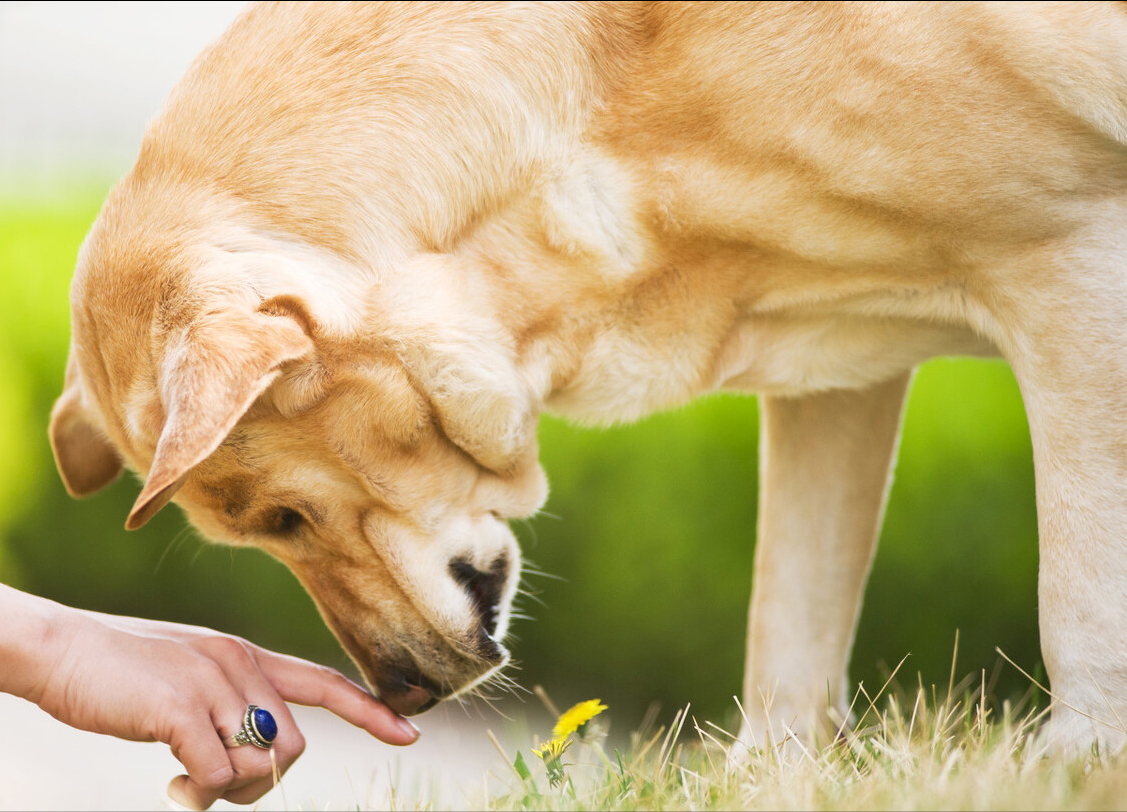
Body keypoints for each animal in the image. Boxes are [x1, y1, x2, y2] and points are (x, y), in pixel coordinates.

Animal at [50, 1, 1127, 753]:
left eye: (282, 518)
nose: (400, 691)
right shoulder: (829, 391)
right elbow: (789, 623)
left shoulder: (1073, 265)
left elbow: (1078, 604)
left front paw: (1080, 758)